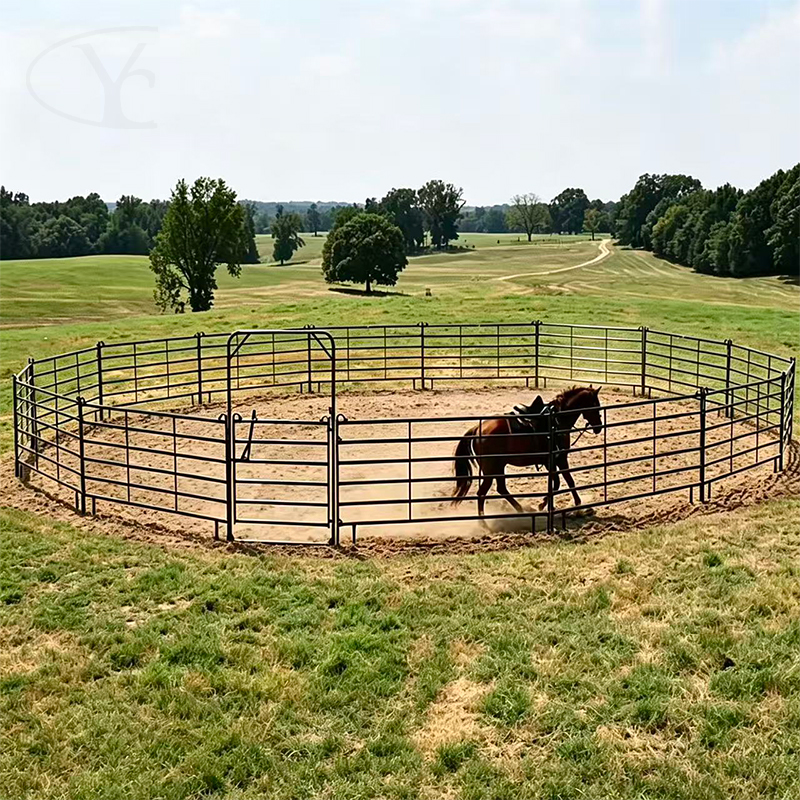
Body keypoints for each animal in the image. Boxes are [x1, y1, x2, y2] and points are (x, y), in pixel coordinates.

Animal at [451, 385, 603, 522]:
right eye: (595, 406)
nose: (599, 427)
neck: (557, 421)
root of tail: (477, 429)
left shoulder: (555, 461)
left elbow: (561, 482)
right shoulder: (557, 460)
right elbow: (563, 482)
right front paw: (575, 506)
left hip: (498, 468)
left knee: (501, 488)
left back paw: (520, 510)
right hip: (491, 470)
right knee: (482, 493)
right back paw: (483, 523)